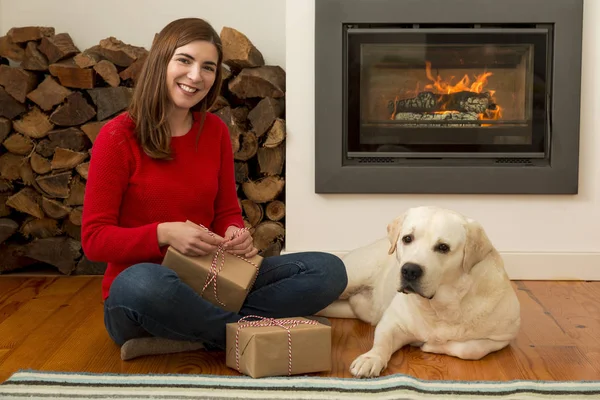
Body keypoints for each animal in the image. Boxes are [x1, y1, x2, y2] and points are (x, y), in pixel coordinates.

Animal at [318, 206, 520, 378]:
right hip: (349, 278)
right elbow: (382, 342)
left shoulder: (503, 337)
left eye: (443, 247)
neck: (440, 306)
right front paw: (371, 359)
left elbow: (470, 349)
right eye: (407, 238)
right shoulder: (392, 321)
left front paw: (432, 345)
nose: (409, 270)